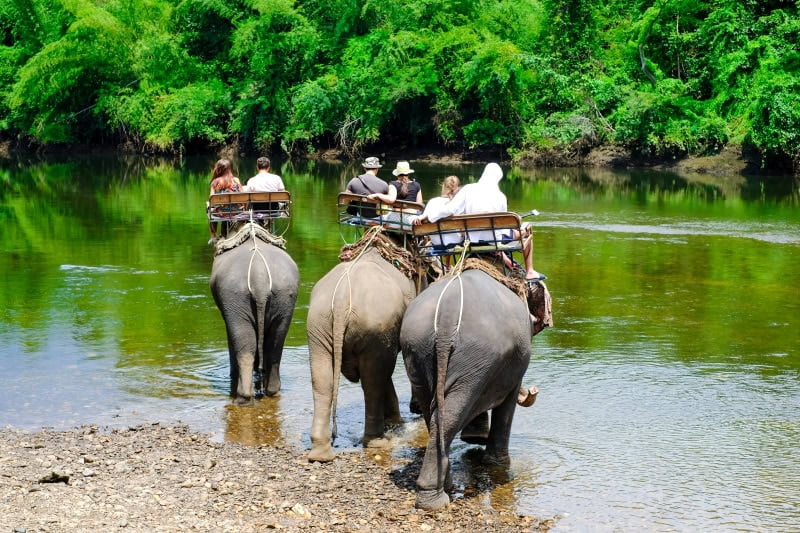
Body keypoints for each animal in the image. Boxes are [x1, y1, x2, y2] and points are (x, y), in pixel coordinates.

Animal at [210, 222, 299, 405]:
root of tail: (260, 280)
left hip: (235, 296)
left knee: (245, 347)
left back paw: (243, 398)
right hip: (285, 297)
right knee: (275, 346)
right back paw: (272, 392)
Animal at [307, 230, 422, 462]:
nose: (415, 408)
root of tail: (342, 298)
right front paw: (397, 423)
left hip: (318, 325)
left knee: (323, 380)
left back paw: (321, 454)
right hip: (375, 327)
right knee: (373, 380)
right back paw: (377, 442)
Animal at [399, 265, 550, 510]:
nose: (533, 391)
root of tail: (446, 318)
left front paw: (476, 439)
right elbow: (507, 405)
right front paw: (497, 464)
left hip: (417, 350)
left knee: (434, 412)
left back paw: (442, 488)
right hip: (478, 354)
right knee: (452, 411)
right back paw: (436, 500)